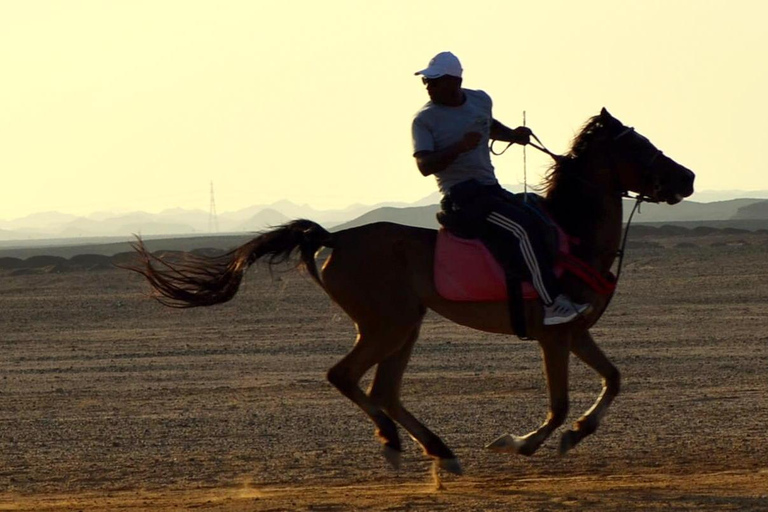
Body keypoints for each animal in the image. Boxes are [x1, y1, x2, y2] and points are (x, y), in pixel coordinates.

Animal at [124, 108, 696, 480]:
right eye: (639, 147)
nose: (688, 176)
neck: (570, 235)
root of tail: (335, 239)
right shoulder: (552, 336)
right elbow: (557, 404)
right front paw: (520, 444)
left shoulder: (575, 331)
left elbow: (613, 379)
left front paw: (576, 434)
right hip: (388, 325)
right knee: (347, 377)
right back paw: (401, 444)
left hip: (407, 325)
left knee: (384, 391)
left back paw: (438, 451)